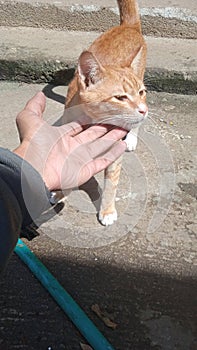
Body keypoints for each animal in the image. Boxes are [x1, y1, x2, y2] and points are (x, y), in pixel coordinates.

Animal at [65, 0, 148, 226]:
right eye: (120, 98)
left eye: (140, 92)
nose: (143, 110)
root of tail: (128, 26)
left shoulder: (114, 154)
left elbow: (111, 183)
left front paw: (107, 211)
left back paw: (132, 137)